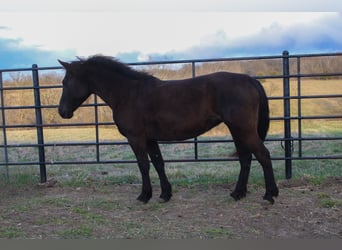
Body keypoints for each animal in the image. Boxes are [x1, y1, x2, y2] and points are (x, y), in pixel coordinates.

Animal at [58, 56, 278, 203]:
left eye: (65, 82)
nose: (62, 111)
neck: (128, 94)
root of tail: (250, 80)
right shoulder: (150, 139)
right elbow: (158, 163)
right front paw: (165, 194)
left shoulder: (136, 138)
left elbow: (143, 165)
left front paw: (144, 195)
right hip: (237, 130)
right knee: (245, 158)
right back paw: (237, 193)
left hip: (243, 129)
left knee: (263, 155)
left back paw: (270, 194)